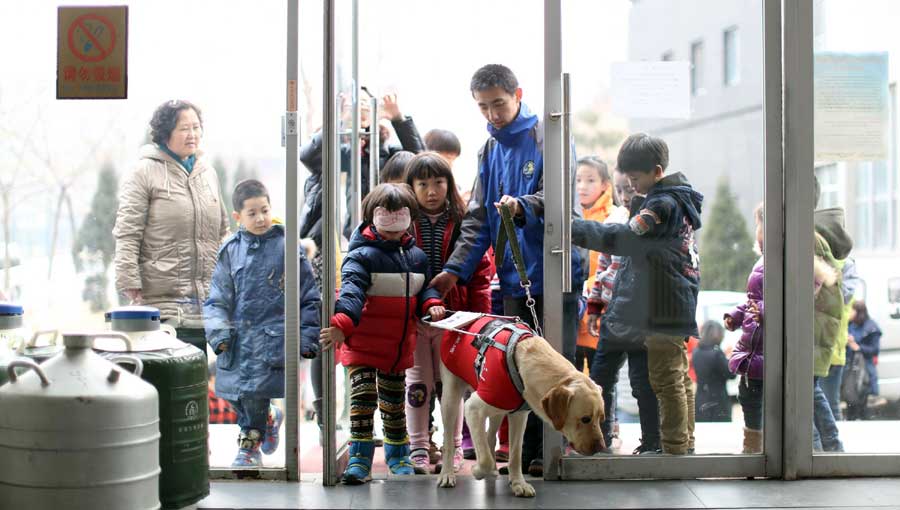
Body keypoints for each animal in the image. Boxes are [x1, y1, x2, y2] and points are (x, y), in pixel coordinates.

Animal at [436, 316, 604, 496]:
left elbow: (516, 453)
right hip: (451, 398)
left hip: (497, 408)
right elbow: (485, 459)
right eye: (585, 419)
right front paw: (478, 471)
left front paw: (518, 483)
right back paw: (447, 473)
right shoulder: (473, 408)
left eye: (601, 418)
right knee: (448, 440)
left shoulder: (519, 416)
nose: (601, 447)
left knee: (489, 436)